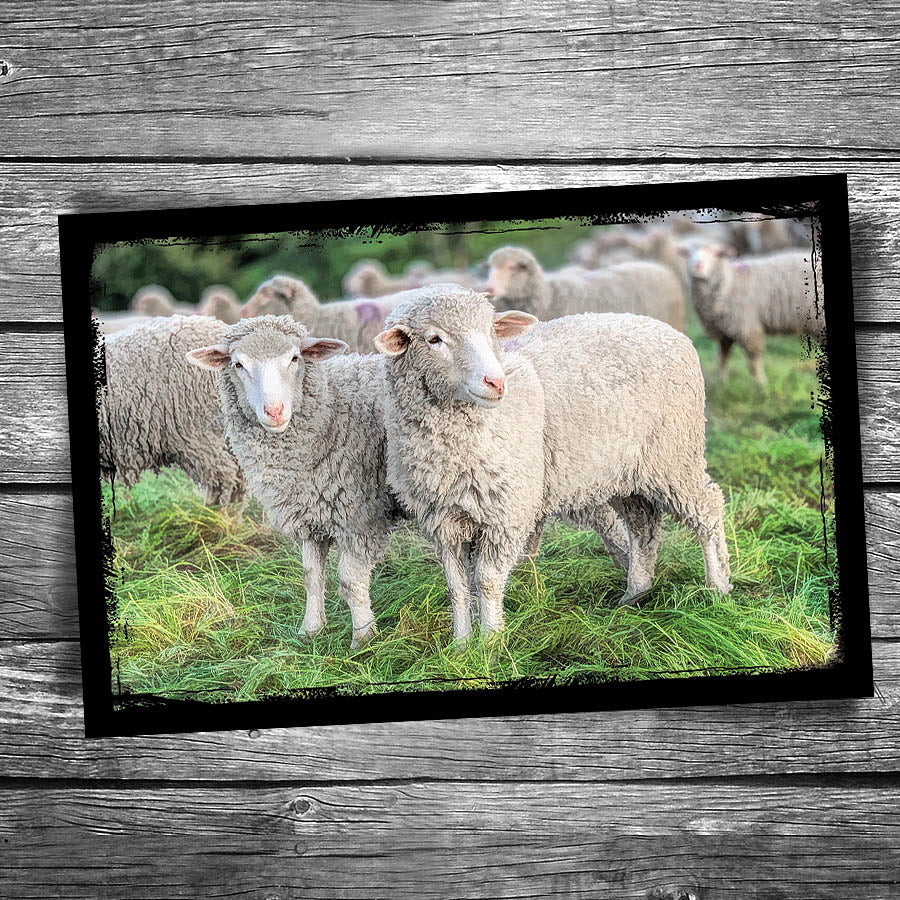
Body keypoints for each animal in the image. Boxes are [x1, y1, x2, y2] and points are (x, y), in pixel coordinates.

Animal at [187, 315, 400, 648]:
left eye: (295, 358)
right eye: (238, 364)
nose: (274, 411)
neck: (331, 411)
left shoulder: (360, 517)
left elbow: (350, 582)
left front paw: (363, 638)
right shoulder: (308, 515)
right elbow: (310, 576)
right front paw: (310, 630)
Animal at [375, 285, 731, 640]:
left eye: (492, 331)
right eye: (434, 339)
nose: (496, 382)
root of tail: (671, 332)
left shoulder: (506, 514)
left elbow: (487, 582)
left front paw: (490, 641)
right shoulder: (444, 521)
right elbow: (457, 587)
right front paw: (461, 644)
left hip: (674, 455)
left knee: (708, 508)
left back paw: (717, 587)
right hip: (625, 471)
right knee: (643, 525)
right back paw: (634, 595)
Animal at [683, 243, 824, 384]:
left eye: (715, 253)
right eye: (689, 253)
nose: (697, 266)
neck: (729, 282)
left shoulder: (747, 327)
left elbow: (753, 361)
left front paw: (761, 383)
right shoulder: (724, 331)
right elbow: (722, 357)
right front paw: (721, 381)